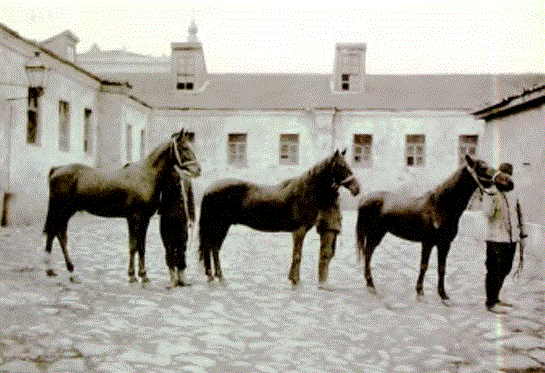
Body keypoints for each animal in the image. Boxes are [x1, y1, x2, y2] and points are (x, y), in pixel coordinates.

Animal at [42, 128, 200, 282]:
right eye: (185, 147)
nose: (198, 170)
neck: (146, 175)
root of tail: (57, 169)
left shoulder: (143, 219)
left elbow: (140, 247)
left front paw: (141, 274)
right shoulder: (134, 218)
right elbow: (134, 246)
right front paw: (134, 275)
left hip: (61, 211)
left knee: (53, 232)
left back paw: (51, 270)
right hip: (63, 210)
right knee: (60, 234)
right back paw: (71, 271)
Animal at [198, 148, 360, 282]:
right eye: (341, 166)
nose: (357, 188)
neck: (304, 192)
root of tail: (208, 189)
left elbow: (296, 255)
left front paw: (292, 278)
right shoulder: (299, 231)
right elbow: (297, 255)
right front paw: (295, 280)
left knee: (211, 247)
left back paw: (213, 275)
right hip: (220, 226)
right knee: (213, 247)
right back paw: (217, 275)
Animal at [354, 154, 512, 302]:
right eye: (482, 167)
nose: (509, 182)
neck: (439, 206)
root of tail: (363, 200)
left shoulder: (445, 244)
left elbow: (442, 268)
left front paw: (443, 295)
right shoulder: (428, 243)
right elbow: (424, 266)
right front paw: (420, 292)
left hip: (379, 233)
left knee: (368, 253)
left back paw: (369, 284)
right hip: (375, 233)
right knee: (368, 254)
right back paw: (371, 286)